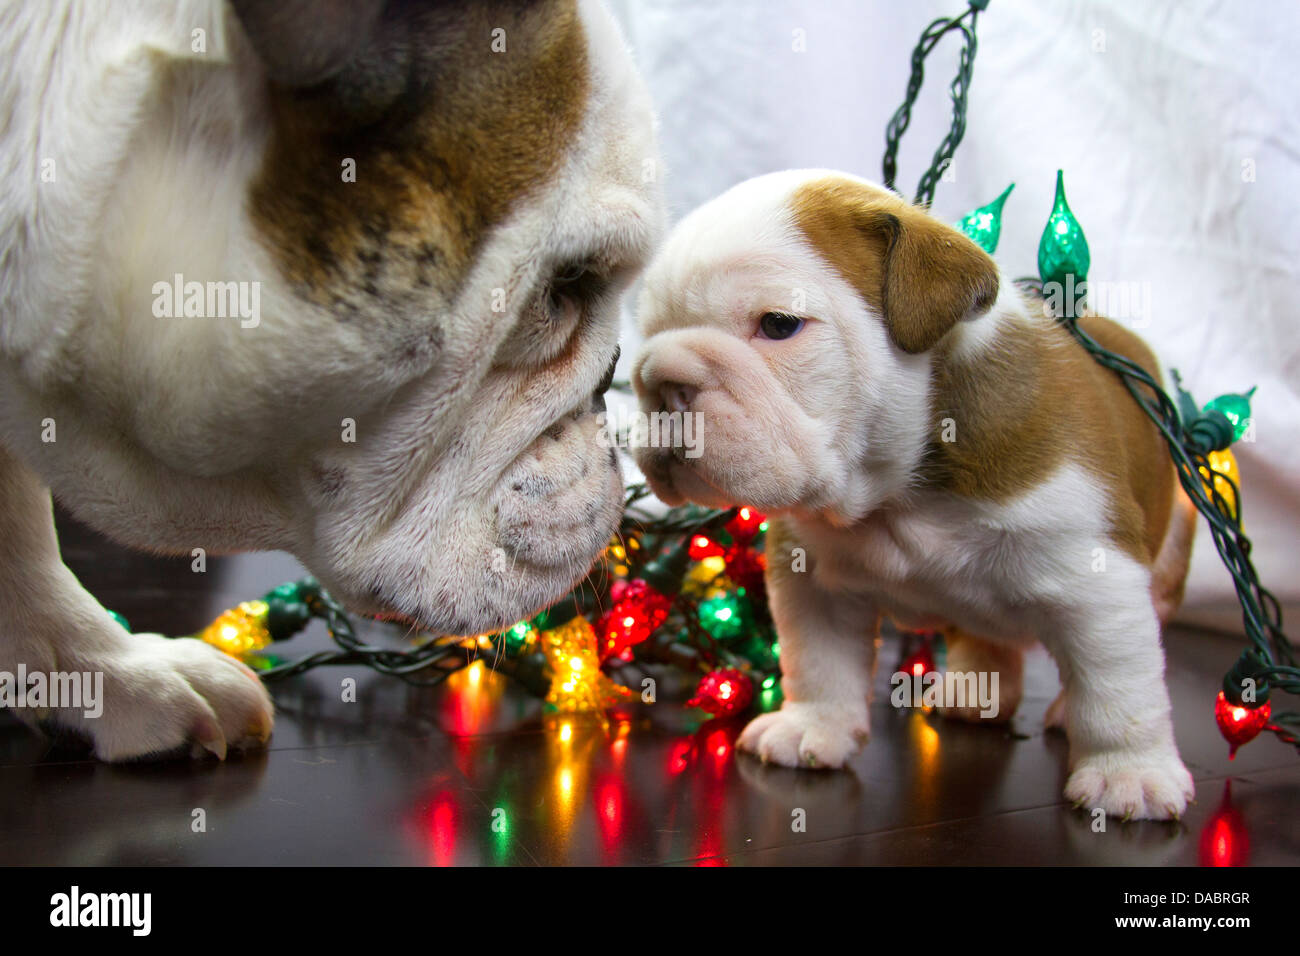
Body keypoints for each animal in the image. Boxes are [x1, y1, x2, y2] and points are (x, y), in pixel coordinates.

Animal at [631, 167, 1196, 816]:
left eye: (778, 325)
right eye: (648, 333)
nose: (660, 380)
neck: (897, 493)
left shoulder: (1098, 581)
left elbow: (1118, 688)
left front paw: (1130, 774)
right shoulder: (812, 577)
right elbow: (819, 659)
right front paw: (811, 726)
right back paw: (974, 691)